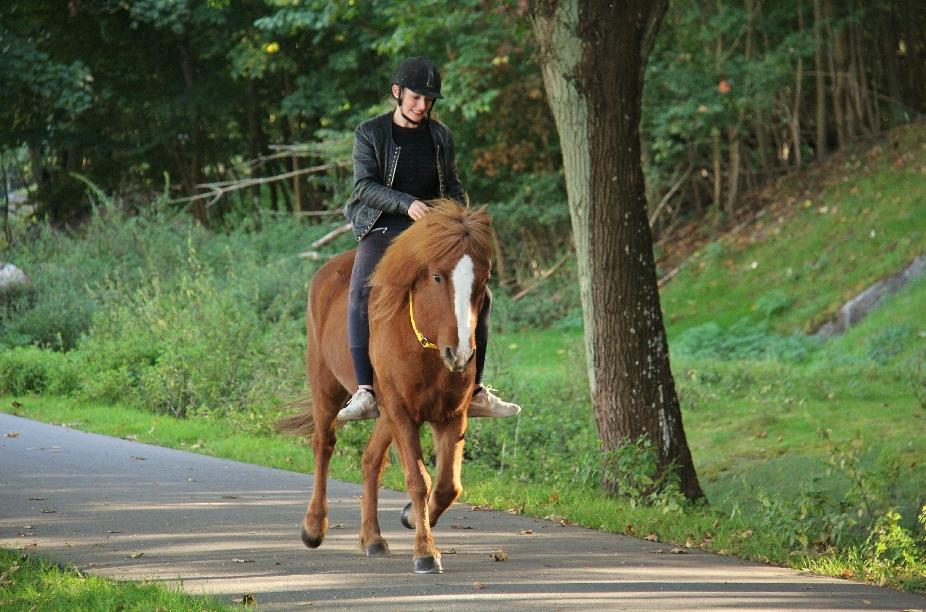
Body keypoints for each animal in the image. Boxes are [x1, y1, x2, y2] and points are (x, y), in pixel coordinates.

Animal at [280, 200, 492, 572]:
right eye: (437, 276)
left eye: (484, 280)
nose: (461, 354)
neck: (425, 347)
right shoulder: (401, 411)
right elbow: (419, 480)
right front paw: (425, 552)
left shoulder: (451, 415)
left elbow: (448, 485)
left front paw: (411, 518)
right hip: (327, 388)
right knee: (324, 445)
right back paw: (314, 527)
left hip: (385, 413)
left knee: (370, 460)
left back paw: (373, 539)